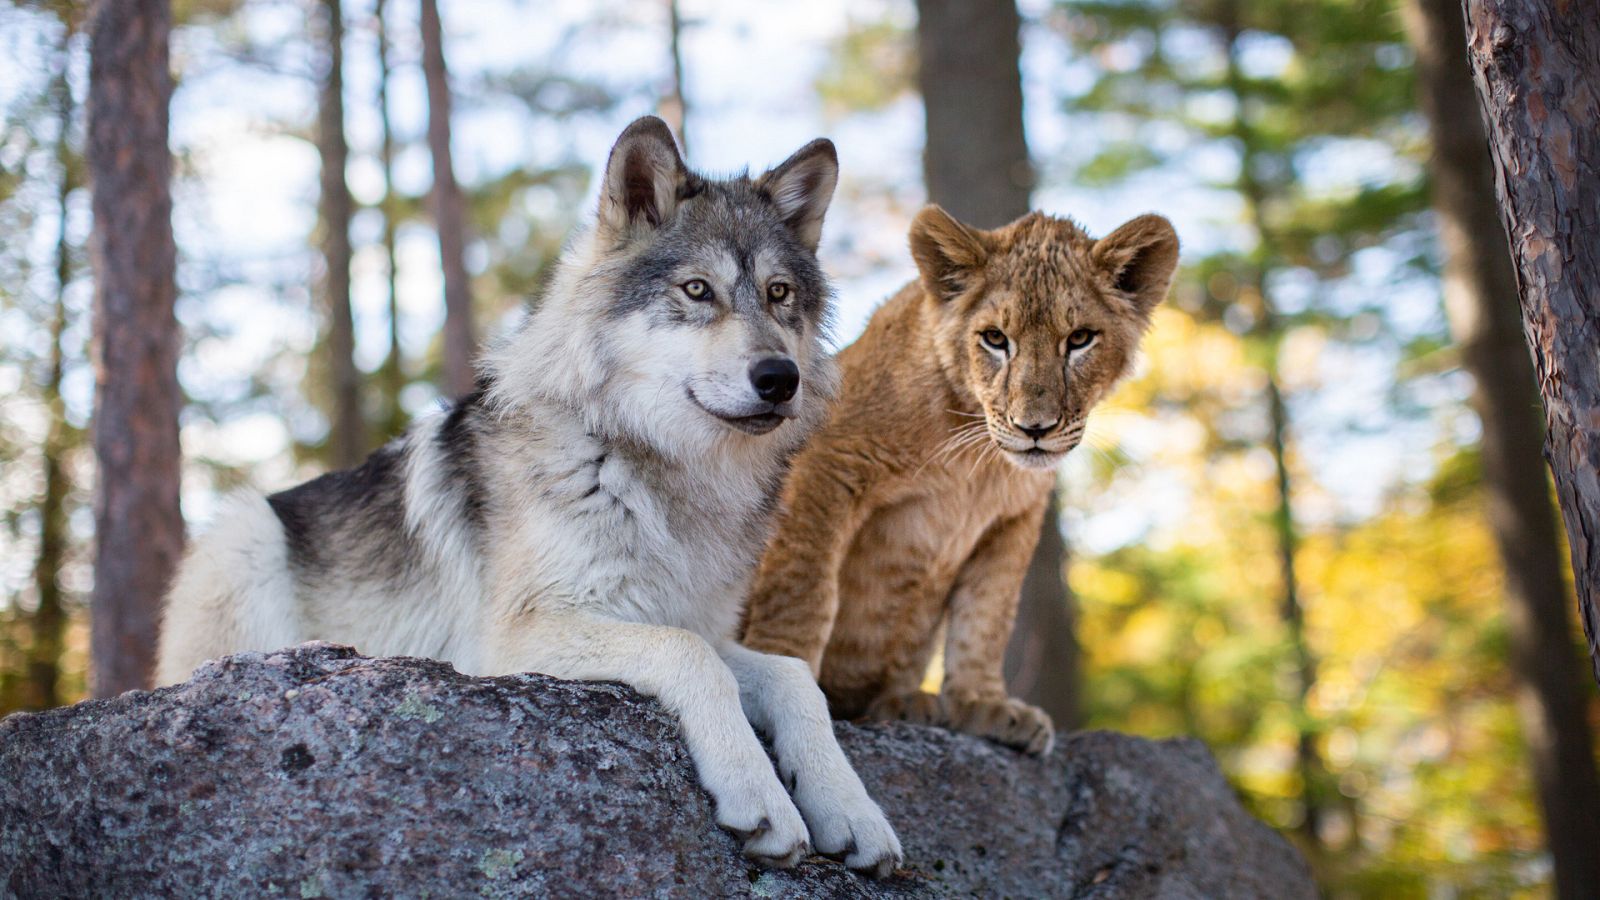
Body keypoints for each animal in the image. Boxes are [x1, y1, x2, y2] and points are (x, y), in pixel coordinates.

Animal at [156, 117, 902, 875]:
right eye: (697, 290)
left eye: (780, 295)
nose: (780, 378)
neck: (658, 470)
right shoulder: (513, 640)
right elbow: (689, 657)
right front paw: (760, 795)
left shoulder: (697, 621)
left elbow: (793, 677)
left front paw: (851, 810)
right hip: (244, 533)